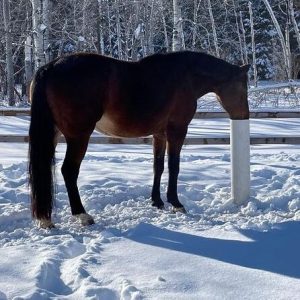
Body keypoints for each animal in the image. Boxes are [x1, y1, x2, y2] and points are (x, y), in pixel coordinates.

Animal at [28, 50, 250, 227]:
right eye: (243, 87)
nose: (245, 116)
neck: (185, 76)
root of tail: (50, 67)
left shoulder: (159, 134)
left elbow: (158, 166)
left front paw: (157, 201)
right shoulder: (177, 130)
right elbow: (174, 166)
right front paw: (176, 203)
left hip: (52, 135)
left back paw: (45, 219)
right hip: (79, 136)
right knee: (69, 171)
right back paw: (82, 215)